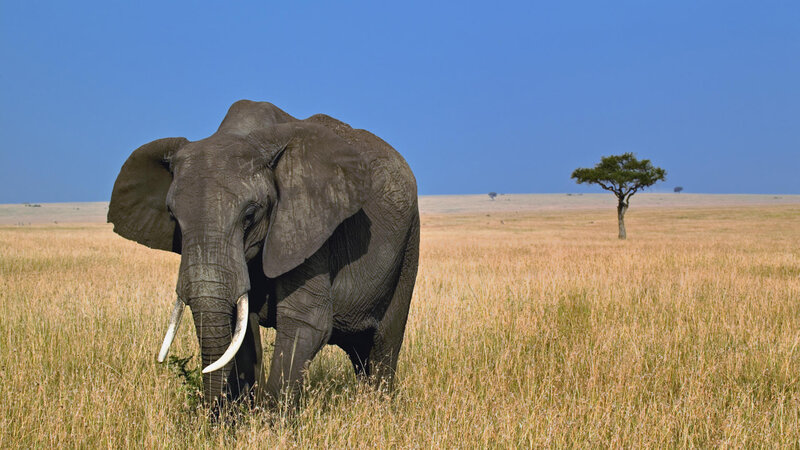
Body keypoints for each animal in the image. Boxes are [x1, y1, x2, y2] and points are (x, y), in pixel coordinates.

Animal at [108, 100, 419, 409]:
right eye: (173, 217)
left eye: (249, 215)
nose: (212, 414)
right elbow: (242, 330)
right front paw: (240, 416)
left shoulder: (307, 224)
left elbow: (306, 320)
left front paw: (270, 420)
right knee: (359, 352)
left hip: (408, 245)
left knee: (383, 343)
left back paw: (377, 407)